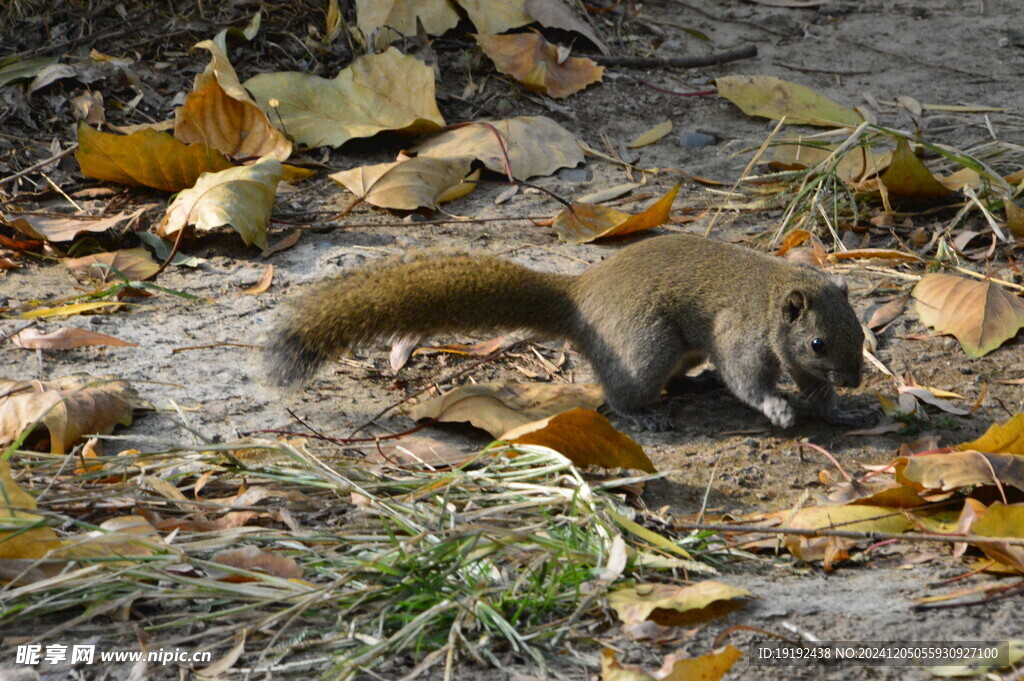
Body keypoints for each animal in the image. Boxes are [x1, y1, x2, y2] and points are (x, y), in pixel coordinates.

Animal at [260, 233, 868, 430]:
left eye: (861, 335)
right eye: (818, 342)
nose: (858, 380)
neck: (772, 292)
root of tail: (580, 297)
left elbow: (811, 388)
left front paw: (841, 410)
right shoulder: (741, 334)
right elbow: (748, 380)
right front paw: (779, 408)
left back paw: (691, 385)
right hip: (647, 344)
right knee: (620, 392)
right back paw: (643, 416)